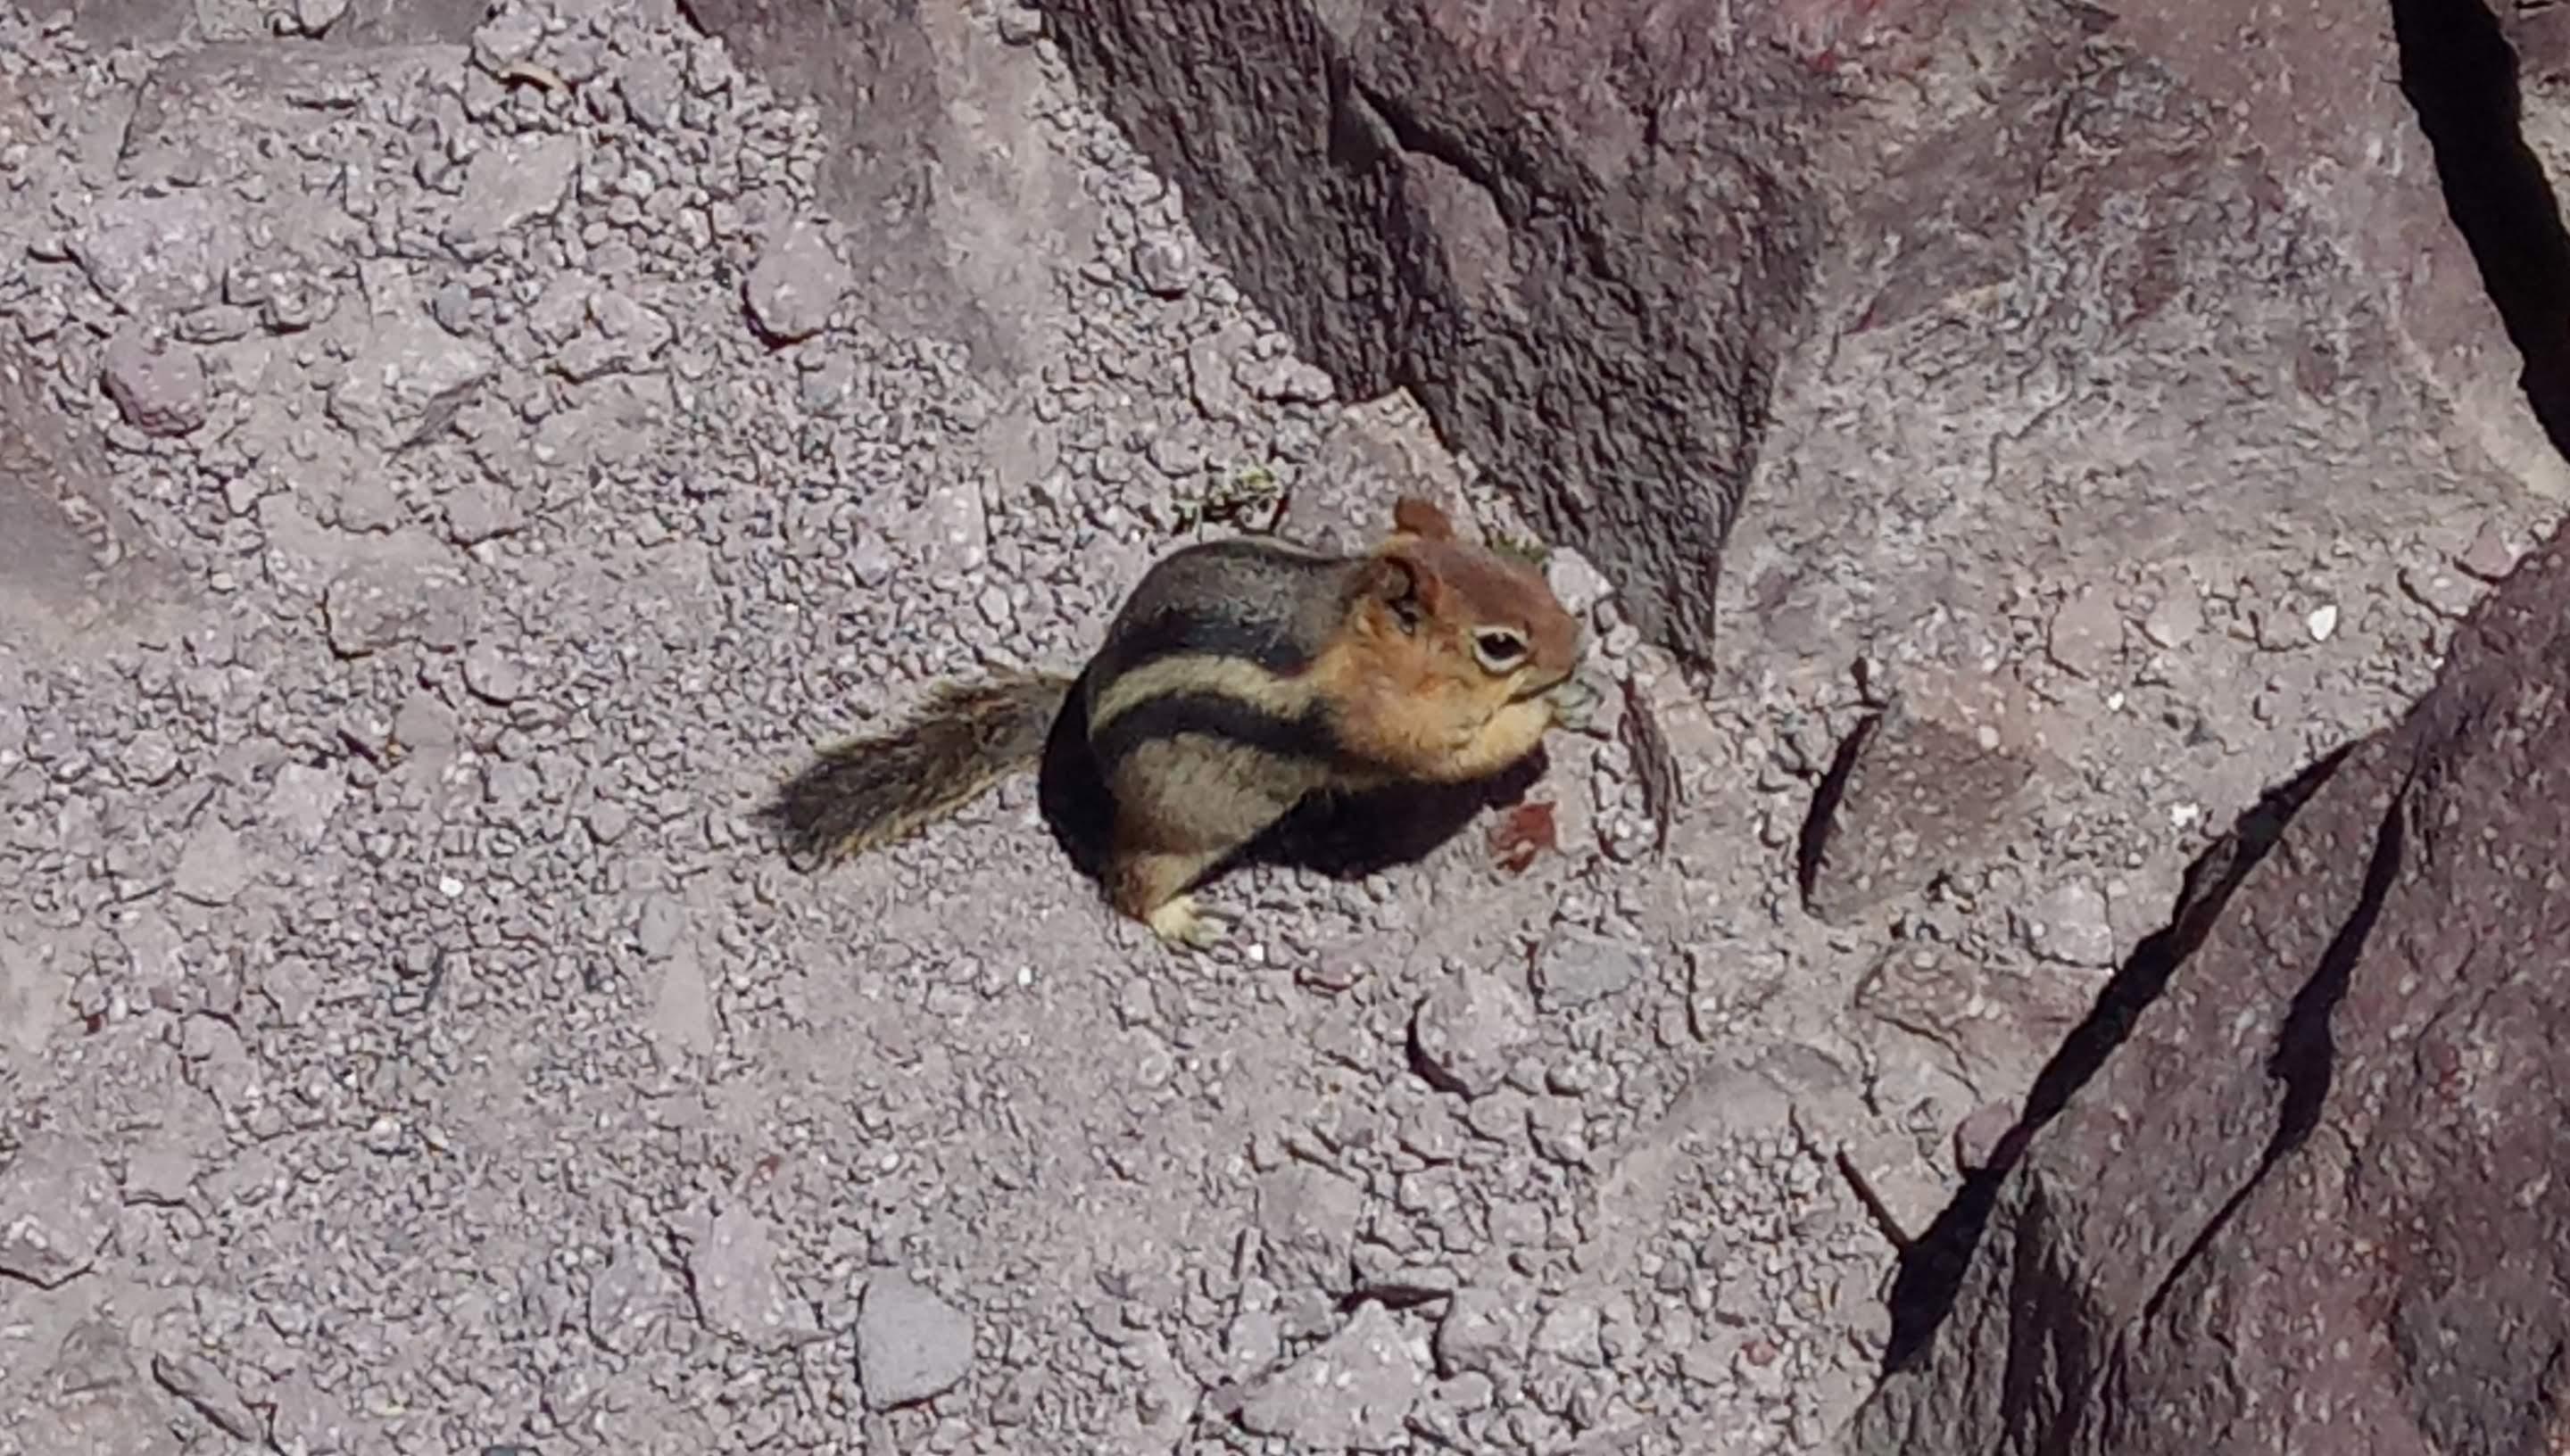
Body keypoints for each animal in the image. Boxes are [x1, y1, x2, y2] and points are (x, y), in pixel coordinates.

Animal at [750, 500, 1583, 949]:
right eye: (1499, 644)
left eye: (1525, 573)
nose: (1575, 645)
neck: (1358, 635)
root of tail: (1077, 713)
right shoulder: (1380, 727)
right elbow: (1451, 754)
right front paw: (1543, 713)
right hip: (1178, 837)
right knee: (1129, 883)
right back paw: (1181, 919)